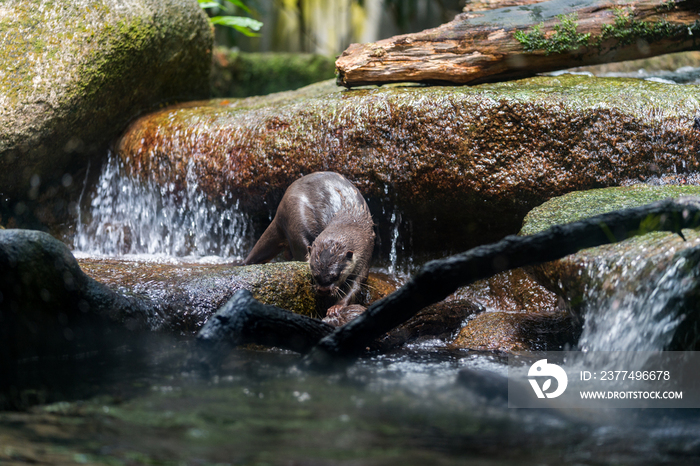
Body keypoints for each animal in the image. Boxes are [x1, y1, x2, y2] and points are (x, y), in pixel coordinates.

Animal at [243, 171, 374, 310]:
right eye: (315, 275)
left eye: (335, 276)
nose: (323, 290)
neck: (350, 221)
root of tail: (279, 213)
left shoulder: (365, 255)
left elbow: (356, 286)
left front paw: (337, 307)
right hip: (295, 217)